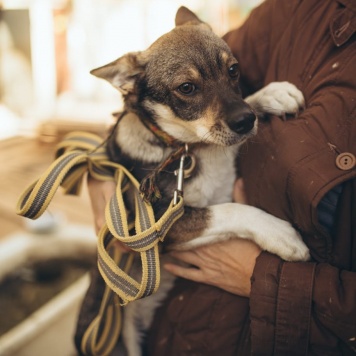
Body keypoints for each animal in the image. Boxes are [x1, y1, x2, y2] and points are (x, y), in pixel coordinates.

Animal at [89, 6, 308, 354]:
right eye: (187, 88)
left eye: (233, 70)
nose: (245, 122)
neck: (191, 147)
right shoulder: (159, 227)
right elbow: (228, 211)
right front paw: (280, 234)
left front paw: (271, 94)